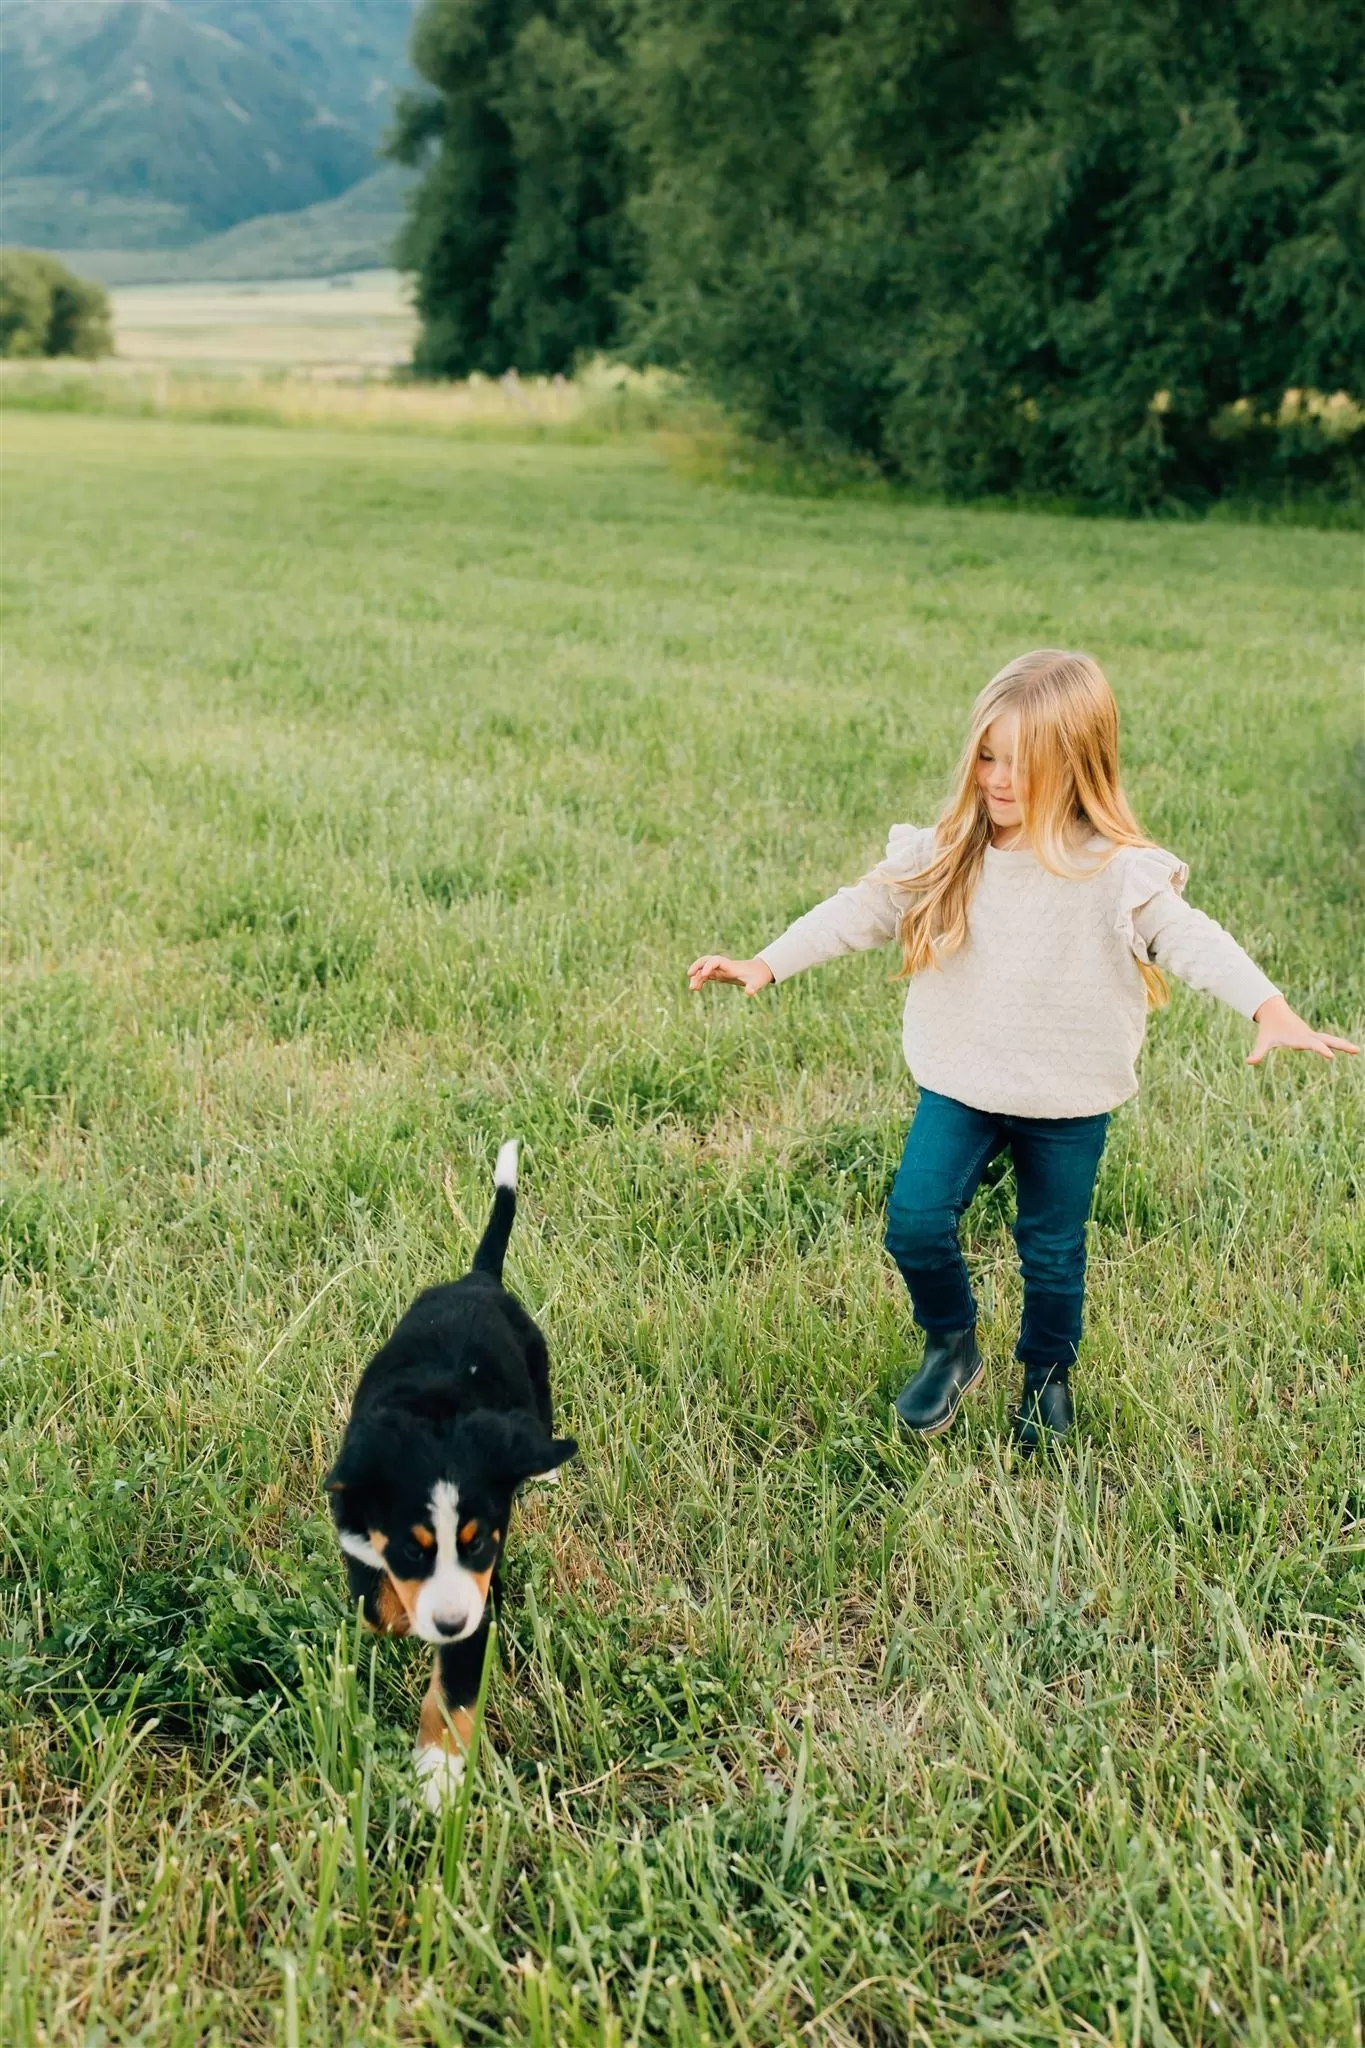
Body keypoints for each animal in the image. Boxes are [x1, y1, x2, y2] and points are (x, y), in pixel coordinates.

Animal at [327, 1146, 577, 1818]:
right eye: (414, 1549)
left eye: (480, 1542)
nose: (446, 1624)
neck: (436, 1417)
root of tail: (478, 1280)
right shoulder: (358, 1528)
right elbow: (375, 1606)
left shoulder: (479, 1601)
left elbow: (454, 1693)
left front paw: (437, 1778)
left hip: (539, 1377)